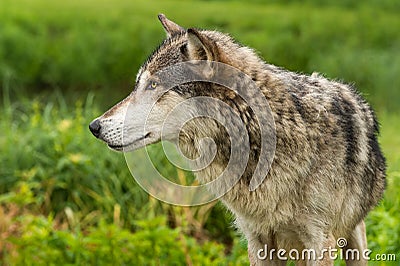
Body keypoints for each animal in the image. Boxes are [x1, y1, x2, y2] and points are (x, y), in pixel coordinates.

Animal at [90, 15, 384, 266]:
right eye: (137, 85)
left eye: (153, 86)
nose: (94, 126)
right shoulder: (257, 240)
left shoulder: (319, 241)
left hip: (353, 239)